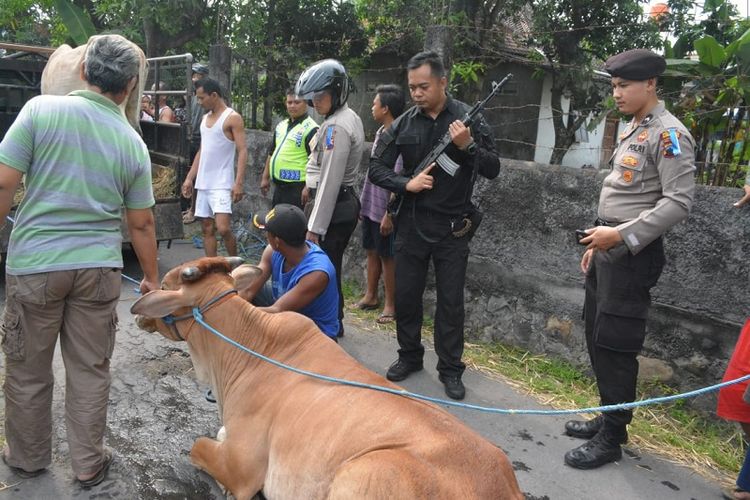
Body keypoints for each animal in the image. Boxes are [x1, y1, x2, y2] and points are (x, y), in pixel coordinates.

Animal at [131, 258, 524, 500]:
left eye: (164, 284)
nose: (139, 304)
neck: (245, 348)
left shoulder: (240, 467)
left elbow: (198, 445)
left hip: (366, 472)